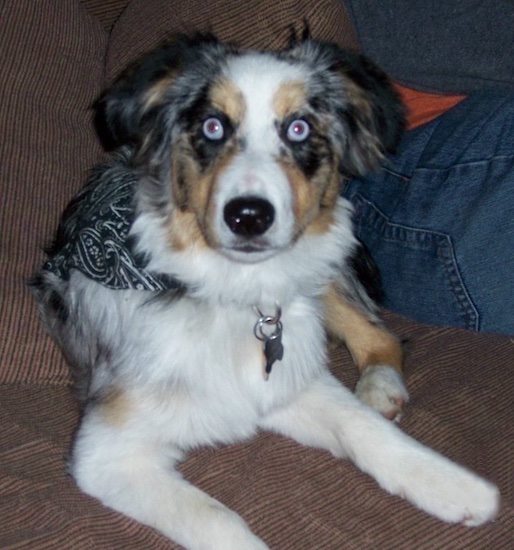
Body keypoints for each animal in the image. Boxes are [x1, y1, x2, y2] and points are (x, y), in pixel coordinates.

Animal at [30, 35, 498, 550]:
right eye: (212, 126)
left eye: (298, 128)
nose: (249, 216)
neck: (233, 294)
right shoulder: (107, 449)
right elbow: (218, 519)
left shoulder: (291, 379)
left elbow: (363, 427)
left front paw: (457, 487)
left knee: (380, 336)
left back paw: (379, 388)